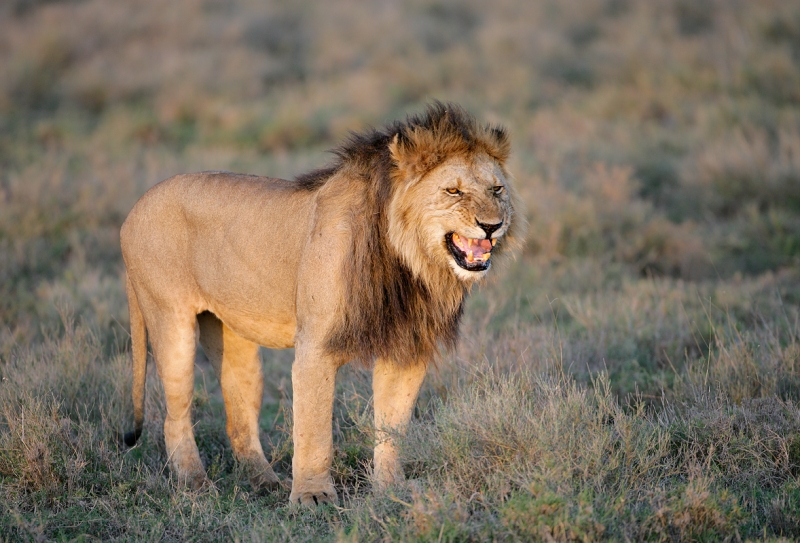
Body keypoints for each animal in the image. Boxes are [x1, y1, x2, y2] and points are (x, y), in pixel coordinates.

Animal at [119, 102, 524, 506]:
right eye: (453, 190)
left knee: (239, 419)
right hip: (171, 322)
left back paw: (266, 483)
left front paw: (390, 489)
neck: (410, 262)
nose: (492, 225)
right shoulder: (315, 346)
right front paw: (312, 496)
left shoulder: (406, 347)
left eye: (497, 189)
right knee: (174, 417)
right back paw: (196, 486)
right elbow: (314, 428)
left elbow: (392, 426)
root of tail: (134, 209)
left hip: (234, 338)